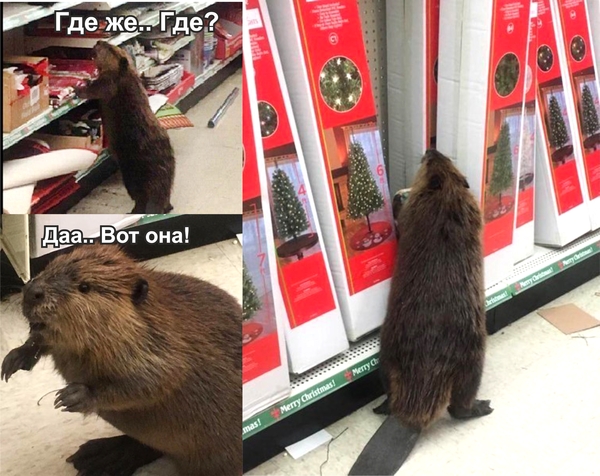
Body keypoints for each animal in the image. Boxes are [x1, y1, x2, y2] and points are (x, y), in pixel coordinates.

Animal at [2, 245, 241, 476]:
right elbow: (41, 340)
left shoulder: (166, 346)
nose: (32, 291)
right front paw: (13, 360)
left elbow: (156, 380)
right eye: (52, 264)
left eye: (85, 286)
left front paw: (72, 396)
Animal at [76, 41, 175, 213]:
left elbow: (95, 89)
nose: (98, 42)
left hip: (132, 175)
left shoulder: (110, 81)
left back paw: (134, 211)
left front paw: (80, 88)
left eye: (109, 47)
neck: (126, 74)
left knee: (140, 198)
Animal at [350, 149, 494, 476]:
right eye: (433, 160)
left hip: (390, 357)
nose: (430, 150)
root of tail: (409, 418)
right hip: (472, 360)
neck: (445, 197)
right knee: (458, 407)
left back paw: (381, 407)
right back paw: (483, 407)